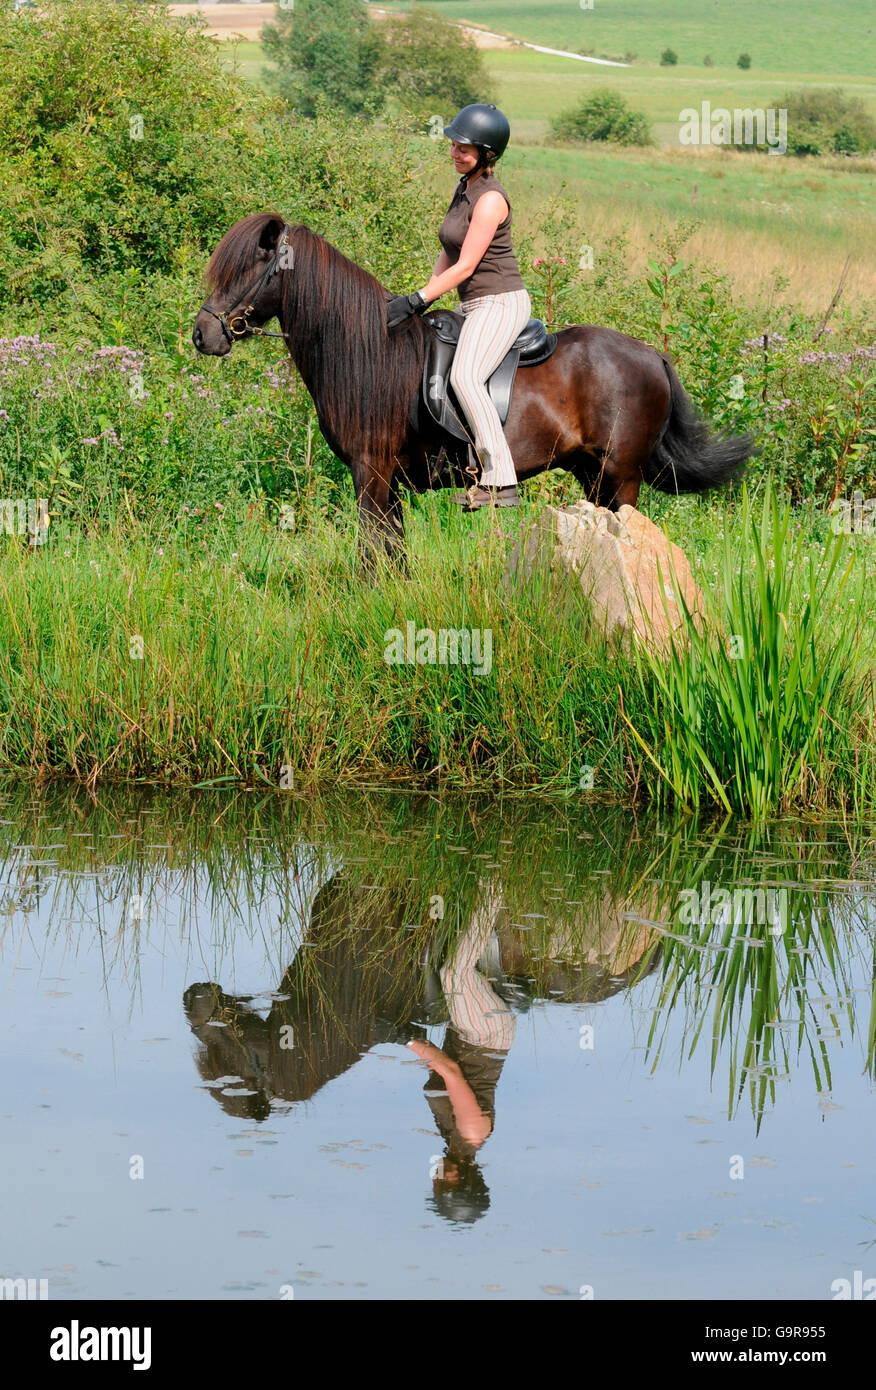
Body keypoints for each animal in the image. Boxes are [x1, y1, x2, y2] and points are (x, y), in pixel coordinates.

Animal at [192, 213, 756, 563]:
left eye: (249, 268)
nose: (203, 335)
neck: (369, 349)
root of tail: (653, 354)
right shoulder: (387, 482)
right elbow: (393, 554)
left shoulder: (370, 472)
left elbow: (372, 552)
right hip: (591, 475)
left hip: (622, 477)